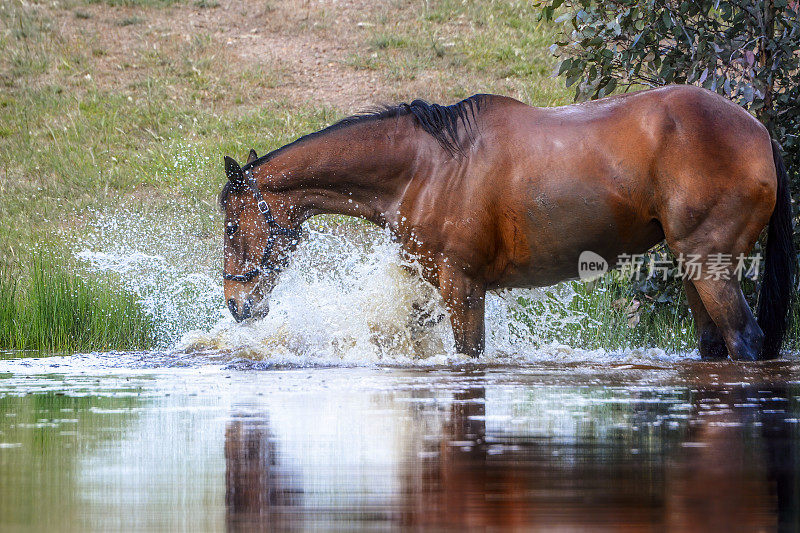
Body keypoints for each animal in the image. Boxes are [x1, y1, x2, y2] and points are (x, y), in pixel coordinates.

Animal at [217, 86, 792, 362]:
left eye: (230, 227)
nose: (237, 305)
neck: (428, 167)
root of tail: (759, 131)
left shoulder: (463, 287)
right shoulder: (428, 289)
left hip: (710, 263)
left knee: (744, 340)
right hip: (693, 266)